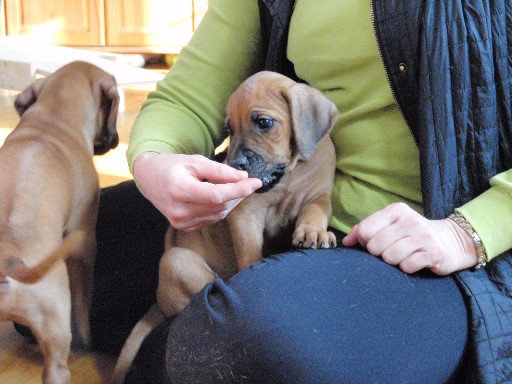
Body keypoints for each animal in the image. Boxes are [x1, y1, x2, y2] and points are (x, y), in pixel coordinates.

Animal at [0, 61, 119, 382]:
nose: (115, 140)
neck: (53, 117)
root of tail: (8, 262)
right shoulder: (85, 238)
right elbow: (83, 301)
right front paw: (87, 336)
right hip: (54, 338)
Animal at [111, 71, 336, 384]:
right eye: (229, 128)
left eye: (264, 123)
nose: (234, 163)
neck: (290, 176)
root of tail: (157, 302)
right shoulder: (245, 214)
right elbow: (250, 253)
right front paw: (255, 270)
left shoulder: (320, 194)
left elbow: (315, 209)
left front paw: (314, 231)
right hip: (177, 261)